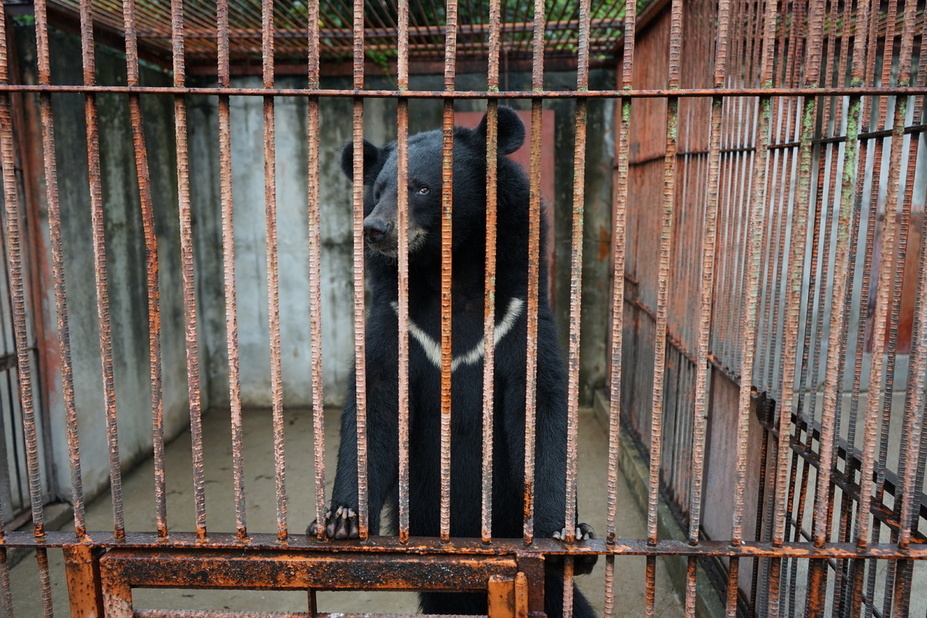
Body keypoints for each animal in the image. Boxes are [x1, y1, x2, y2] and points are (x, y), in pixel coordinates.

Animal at [312, 108, 600, 612]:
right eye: (378, 190)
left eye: (422, 188)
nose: (375, 230)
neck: (455, 273)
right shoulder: (397, 317)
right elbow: (376, 401)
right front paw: (341, 519)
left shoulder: (518, 311)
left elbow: (542, 407)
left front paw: (566, 533)